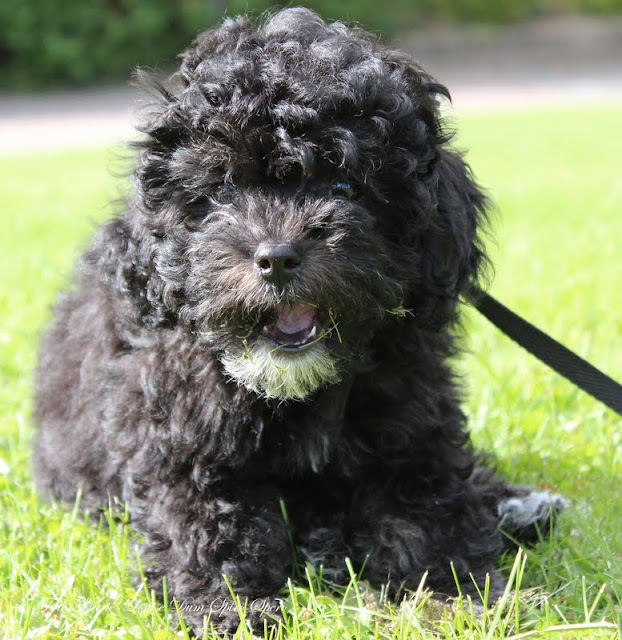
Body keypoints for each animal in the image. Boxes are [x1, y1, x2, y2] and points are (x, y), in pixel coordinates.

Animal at [32, 8, 566, 634]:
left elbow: (425, 506)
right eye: (223, 189)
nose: (278, 257)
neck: (293, 387)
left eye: (346, 185)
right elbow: (207, 525)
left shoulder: (409, 419)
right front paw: (229, 610)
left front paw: (453, 595)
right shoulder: (181, 438)